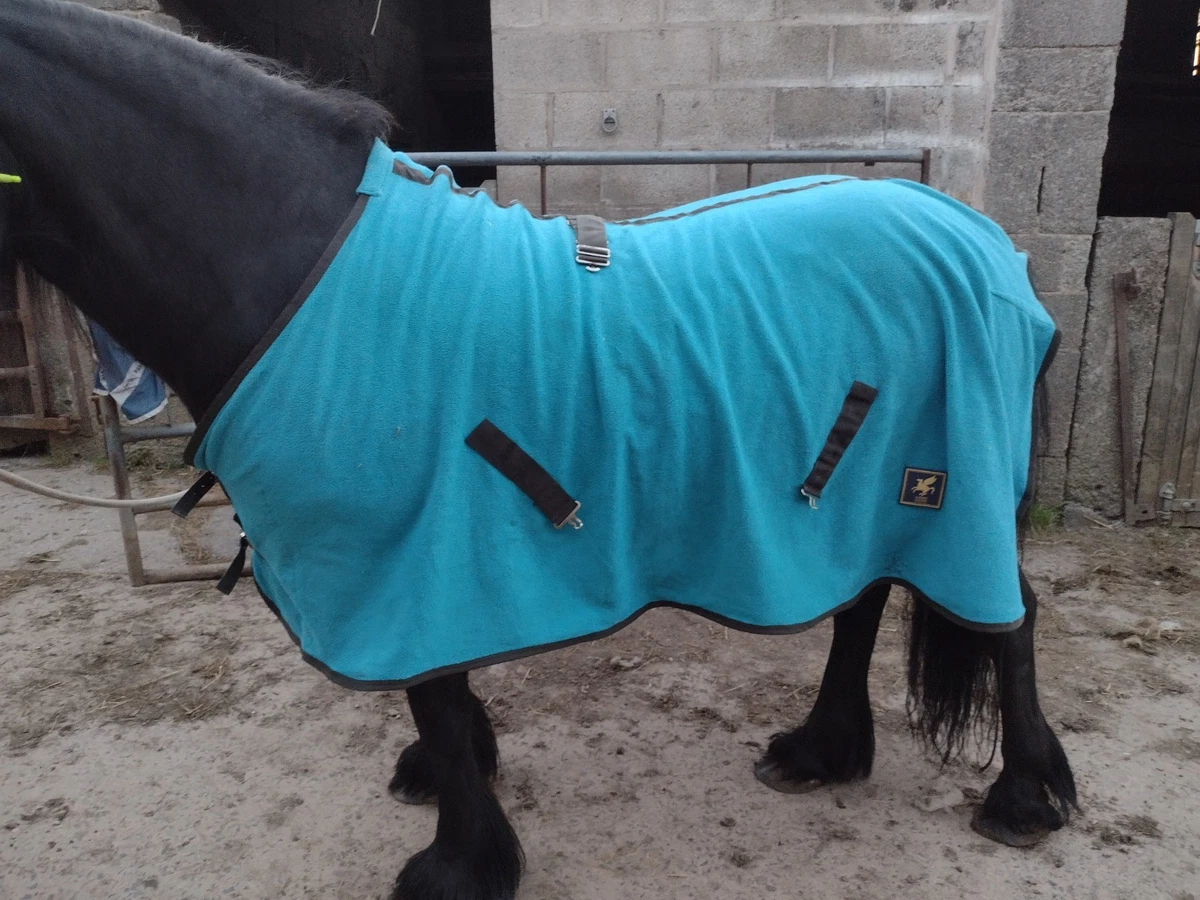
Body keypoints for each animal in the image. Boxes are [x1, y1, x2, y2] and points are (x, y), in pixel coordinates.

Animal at [0, 3, 1077, 899]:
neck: (297, 267)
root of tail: (983, 238)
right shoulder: (423, 559)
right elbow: (443, 687)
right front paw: (451, 784)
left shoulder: (403, 553)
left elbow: (433, 696)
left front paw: (460, 864)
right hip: (864, 487)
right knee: (863, 603)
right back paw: (819, 752)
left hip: (952, 487)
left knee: (1008, 620)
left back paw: (1023, 798)